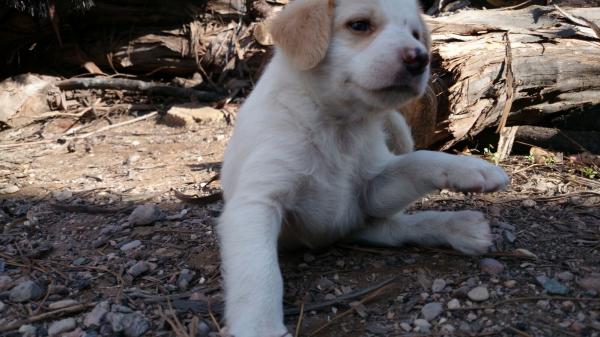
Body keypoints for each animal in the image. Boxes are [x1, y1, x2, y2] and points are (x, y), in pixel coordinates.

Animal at [218, 0, 508, 336]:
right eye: (359, 25)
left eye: (415, 34)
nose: (419, 58)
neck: (338, 127)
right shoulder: (258, 202)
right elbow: (259, 271)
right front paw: (260, 326)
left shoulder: (371, 189)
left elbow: (418, 160)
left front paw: (470, 168)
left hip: (363, 217)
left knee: (404, 226)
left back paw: (461, 225)